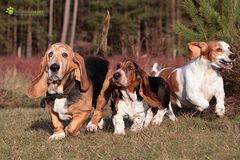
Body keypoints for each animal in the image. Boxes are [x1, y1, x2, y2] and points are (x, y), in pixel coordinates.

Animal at [26, 11, 110, 139]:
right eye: (50, 54)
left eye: (65, 55)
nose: (54, 67)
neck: (61, 92)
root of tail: (100, 56)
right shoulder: (51, 110)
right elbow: (56, 122)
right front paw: (58, 134)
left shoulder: (84, 110)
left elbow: (71, 127)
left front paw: (74, 131)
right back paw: (98, 124)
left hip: (103, 95)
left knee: (99, 111)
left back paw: (92, 125)